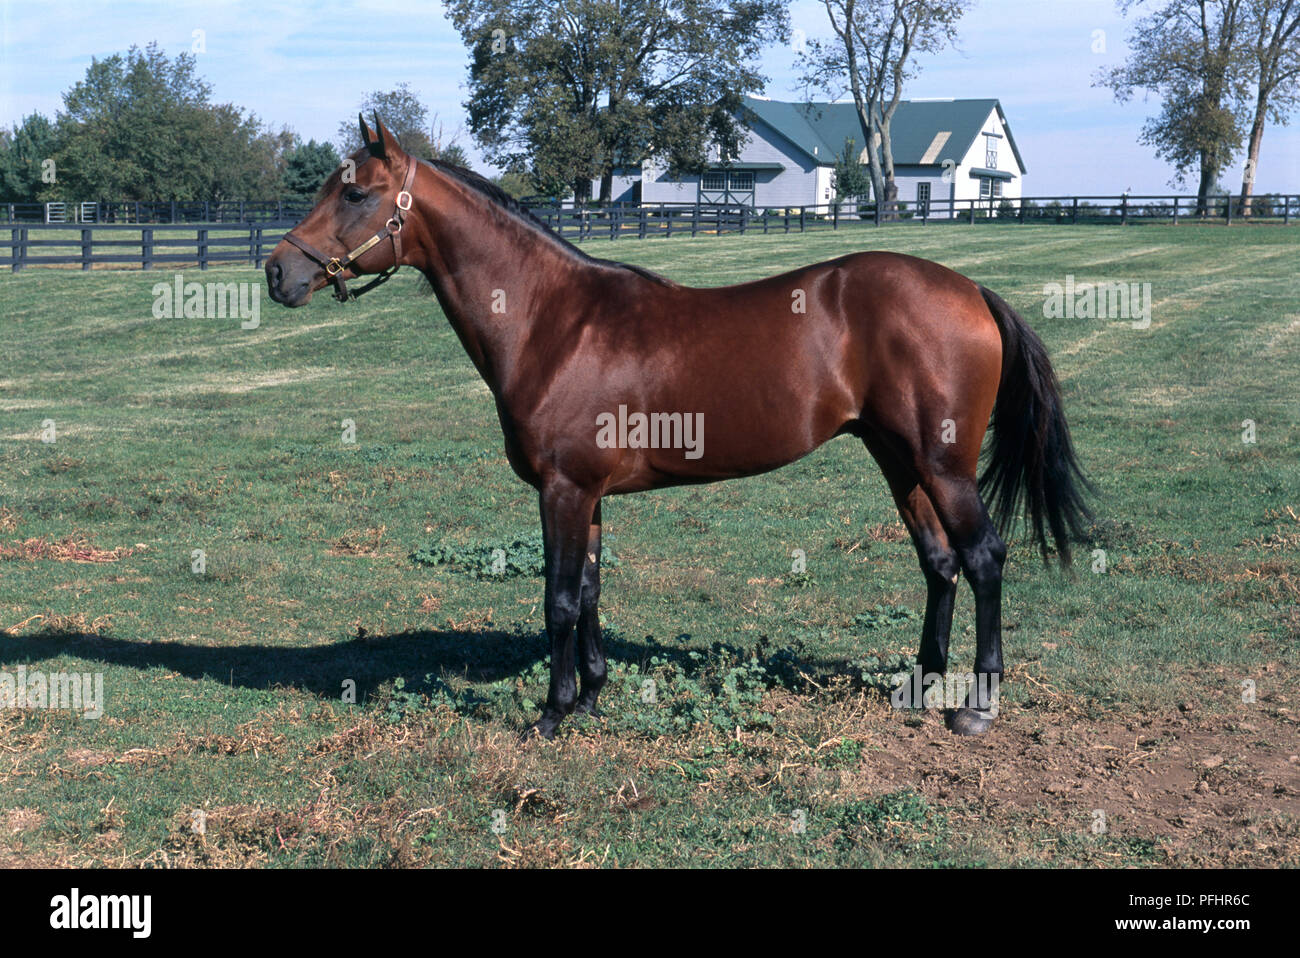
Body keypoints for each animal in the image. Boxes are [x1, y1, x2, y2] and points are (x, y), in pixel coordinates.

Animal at [265, 114, 1092, 741]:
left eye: (355, 192)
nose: (278, 273)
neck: (552, 321)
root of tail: (972, 291)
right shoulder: (588, 495)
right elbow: (590, 589)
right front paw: (592, 697)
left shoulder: (562, 491)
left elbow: (558, 599)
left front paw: (552, 715)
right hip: (899, 460)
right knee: (938, 563)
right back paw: (920, 686)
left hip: (943, 466)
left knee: (982, 558)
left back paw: (977, 707)